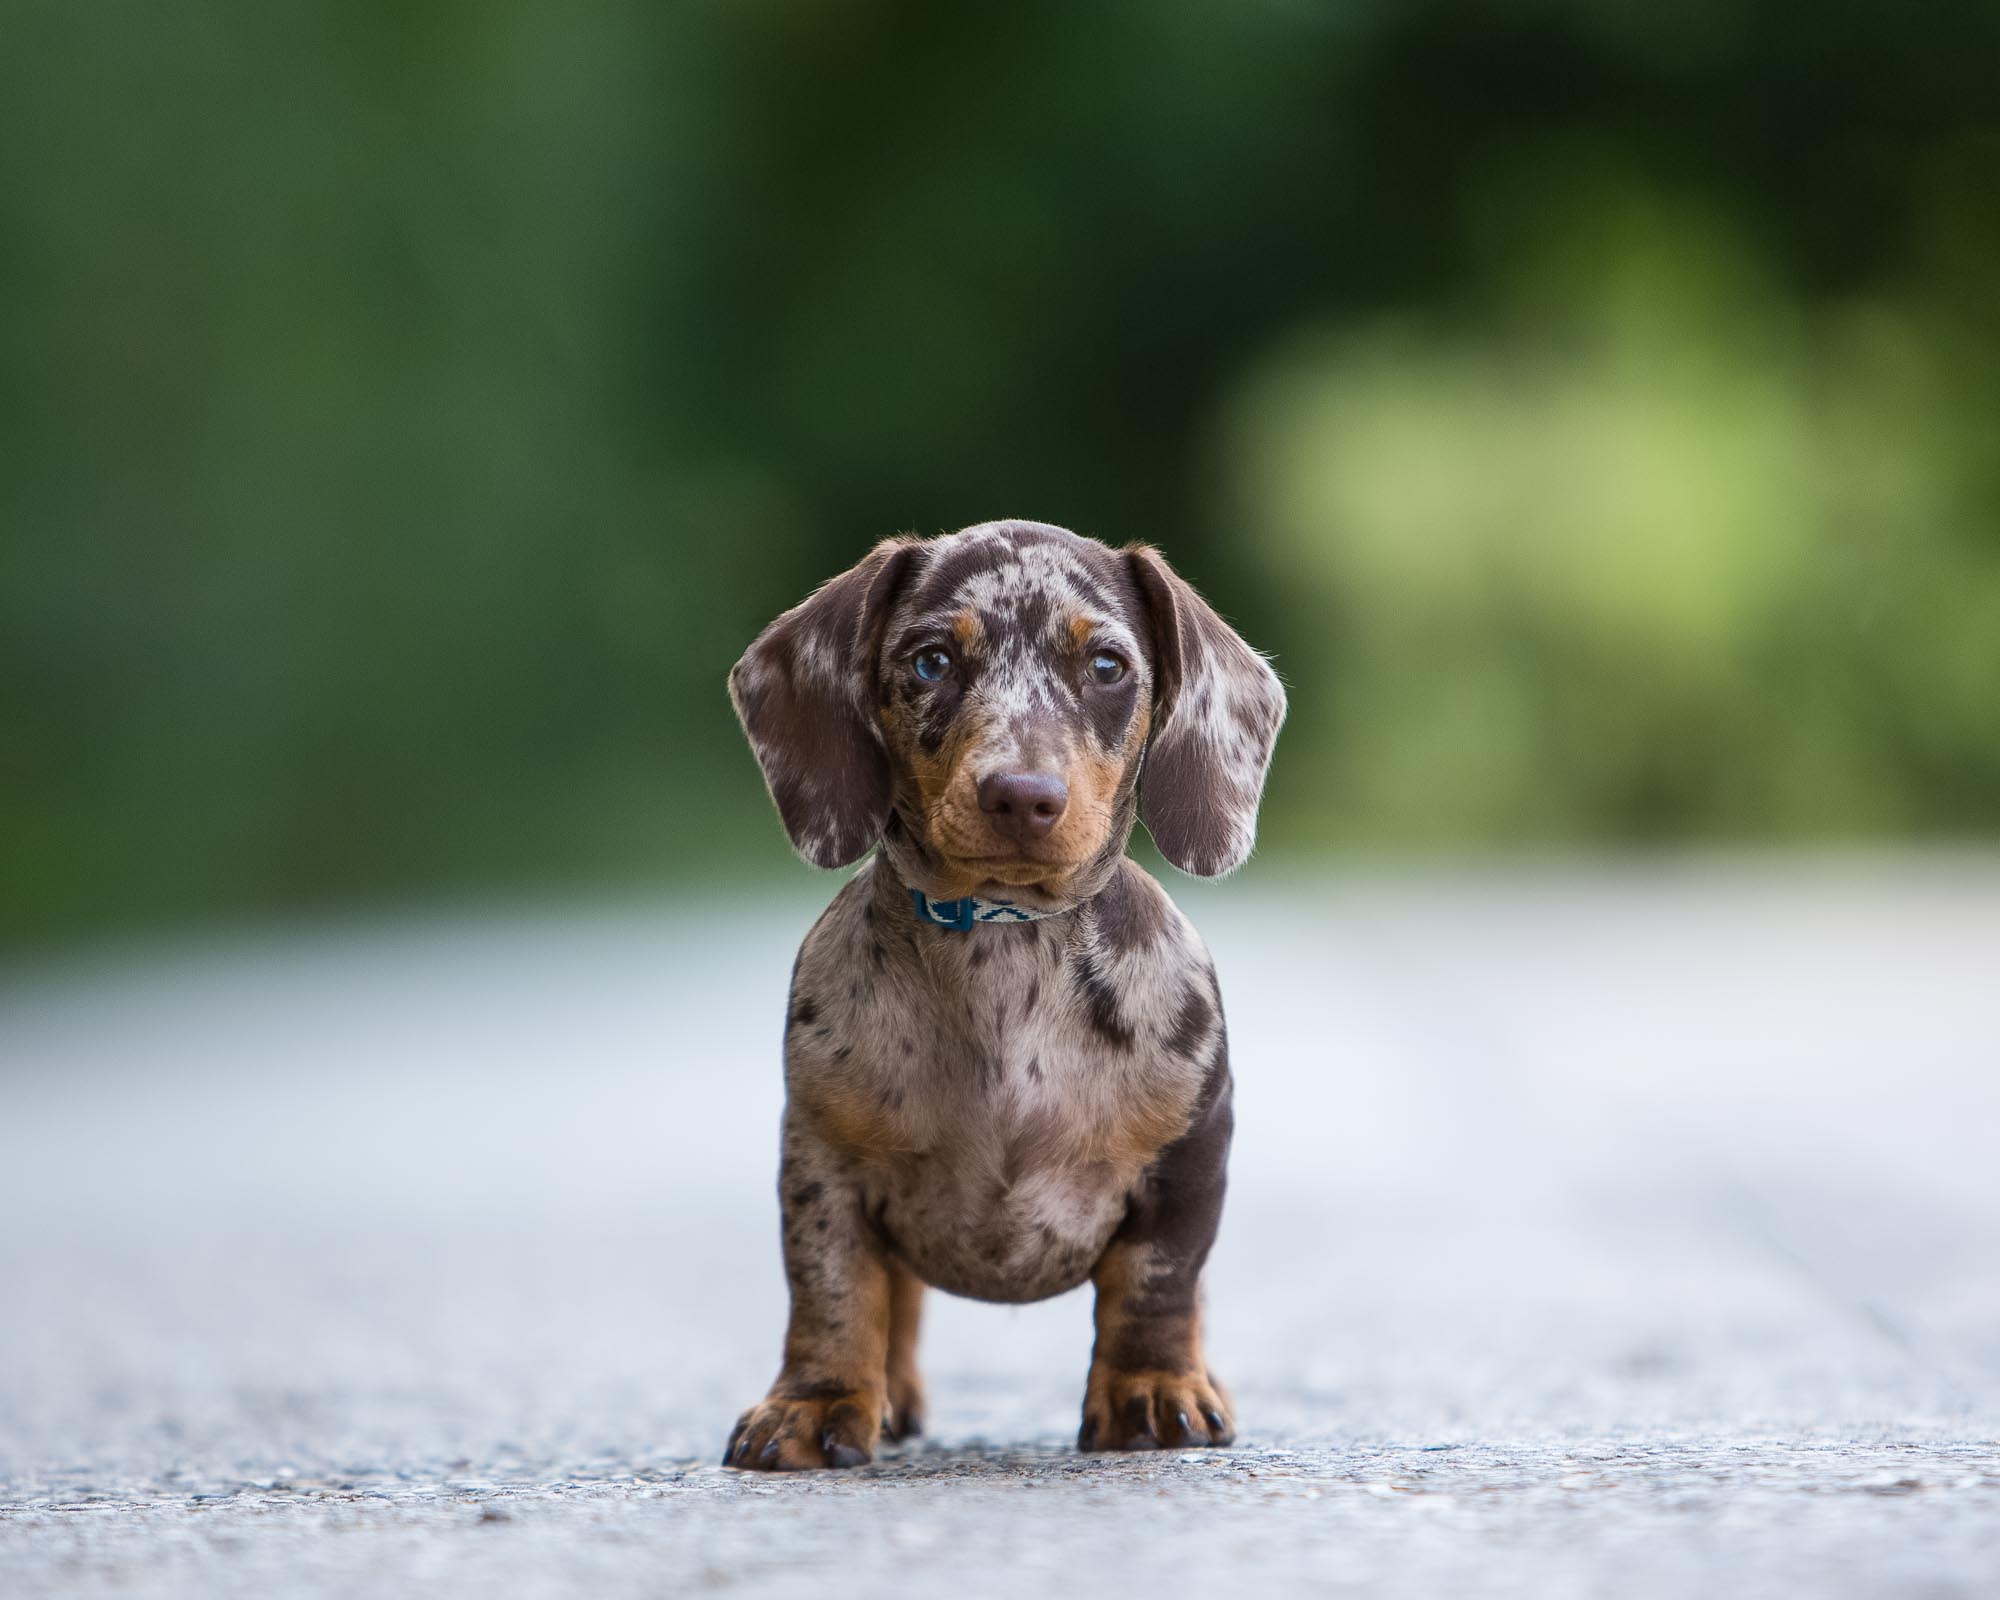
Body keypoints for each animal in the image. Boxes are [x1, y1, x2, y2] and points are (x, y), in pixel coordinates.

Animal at [720, 520, 1280, 1472]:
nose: (1022, 796)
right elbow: (835, 1293)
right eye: (932, 661)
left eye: (1107, 666)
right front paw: (817, 1401)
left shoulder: (1190, 1155)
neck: (1005, 945)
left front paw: (1152, 1389)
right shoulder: (822, 1164)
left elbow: (1158, 1286)